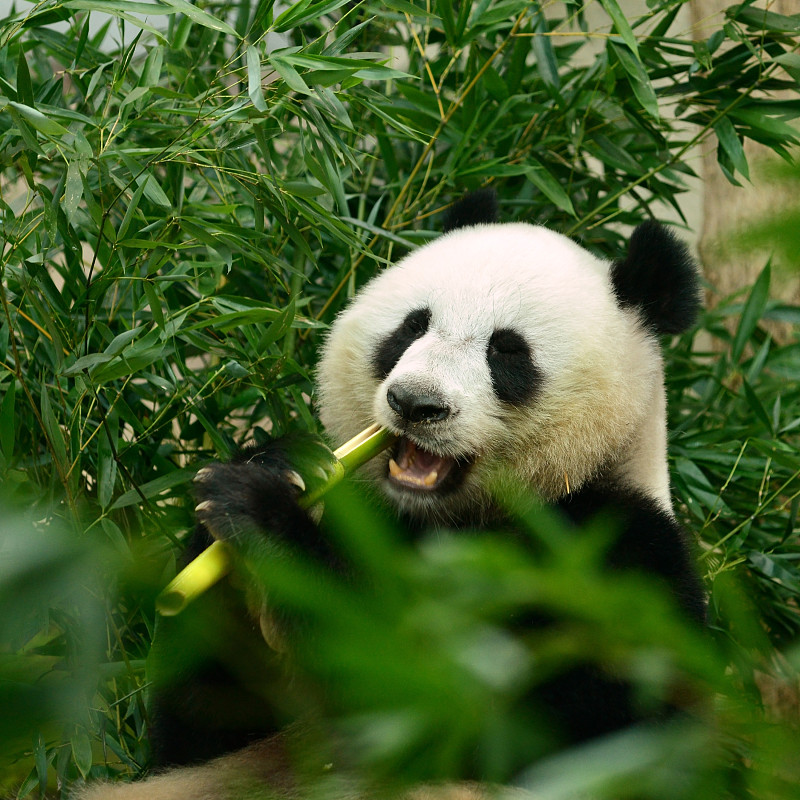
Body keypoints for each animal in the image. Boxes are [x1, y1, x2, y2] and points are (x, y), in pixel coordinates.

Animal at [79, 192, 708, 800]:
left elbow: (501, 716)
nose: (415, 403)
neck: (442, 519)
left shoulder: (615, 561)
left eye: (507, 351)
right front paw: (275, 469)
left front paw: (263, 516)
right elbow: (197, 730)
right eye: (412, 326)